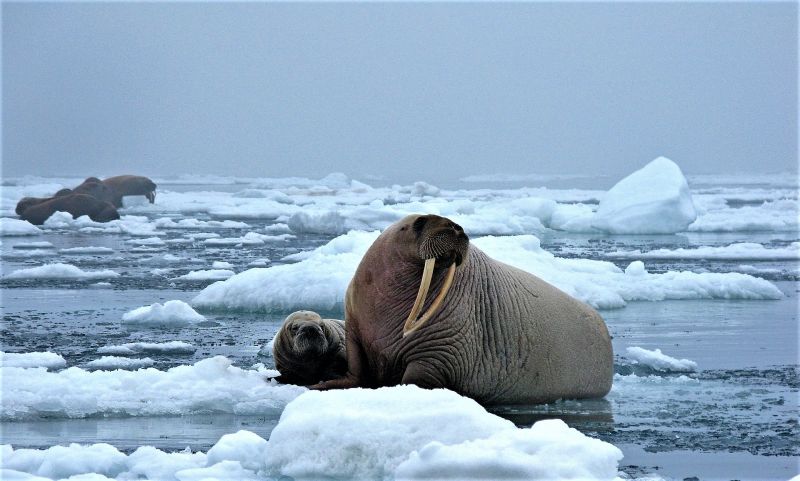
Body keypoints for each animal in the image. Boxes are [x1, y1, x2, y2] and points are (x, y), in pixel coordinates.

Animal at [316, 214, 616, 404]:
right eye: (419, 222)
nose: (456, 228)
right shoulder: (355, 327)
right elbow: (357, 368)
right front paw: (322, 385)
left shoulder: (441, 349)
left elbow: (418, 377)